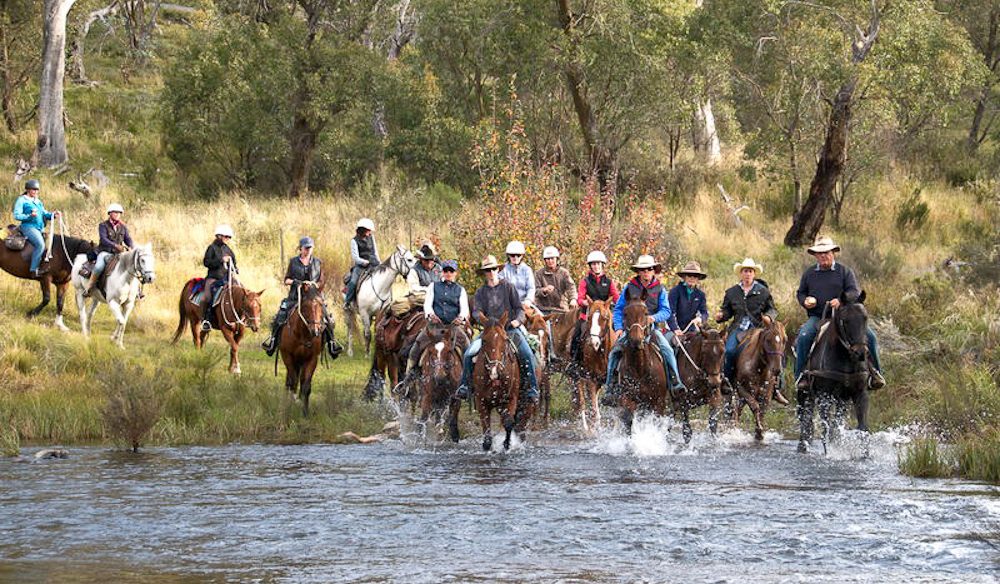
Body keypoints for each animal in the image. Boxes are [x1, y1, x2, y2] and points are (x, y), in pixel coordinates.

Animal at [280, 282, 326, 416]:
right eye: (306, 306)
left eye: (321, 305)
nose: (315, 331)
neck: (303, 334)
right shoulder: (287, 356)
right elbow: (292, 382)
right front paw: (290, 406)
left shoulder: (312, 359)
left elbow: (306, 386)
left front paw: (305, 412)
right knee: (291, 381)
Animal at [472, 312, 524, 450]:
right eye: (484, 340)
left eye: (505, 339)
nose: (495, 371)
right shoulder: (481, 401)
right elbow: (486, 434)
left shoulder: (511, 398)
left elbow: (509, 422)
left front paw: (506, 444)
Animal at [576, 302, 612, 434]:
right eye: (589, 318)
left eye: (605, 318)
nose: (593, 343)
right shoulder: (592, 379)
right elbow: (594, 409)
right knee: (582, 401)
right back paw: (586, 427)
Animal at [612, 290, 668, 434]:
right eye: (625, 313)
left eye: (646, 313)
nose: (636, 340)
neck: (640, 368)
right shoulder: (627, 399)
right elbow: (627, 420)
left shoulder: (658, 402)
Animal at [800, 294, 872, 454]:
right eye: (845, 320)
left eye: (865, 318)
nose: (860, 353)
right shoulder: (823, 395)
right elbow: (825, 427)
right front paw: (829, 454)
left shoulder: (860, 393)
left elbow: (863, 428)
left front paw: (866, 455)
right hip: (806, 393)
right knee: (805, 417)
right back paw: (802, 446)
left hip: (842, 399)